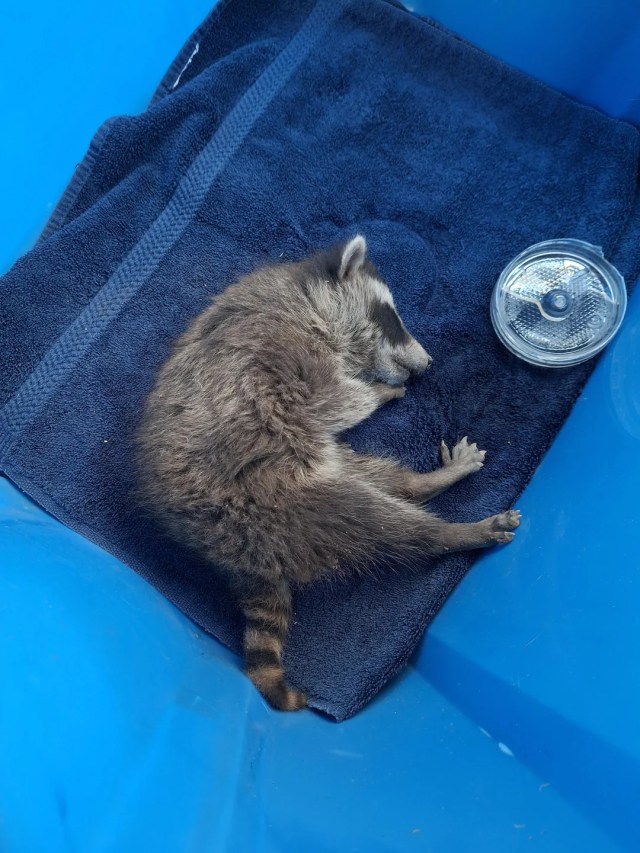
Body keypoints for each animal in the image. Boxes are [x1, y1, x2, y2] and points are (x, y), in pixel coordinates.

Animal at [135, 236, 520, 711]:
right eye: (390, 316)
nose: (429, 362)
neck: (302, 298)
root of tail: (230, 555)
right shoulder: (285, 354)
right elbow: (335, 400)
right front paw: (377, 393)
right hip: (271, 503)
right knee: (377, 521)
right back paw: (451, 530)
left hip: (306, 470)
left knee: (371, 474)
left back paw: (418, 484)